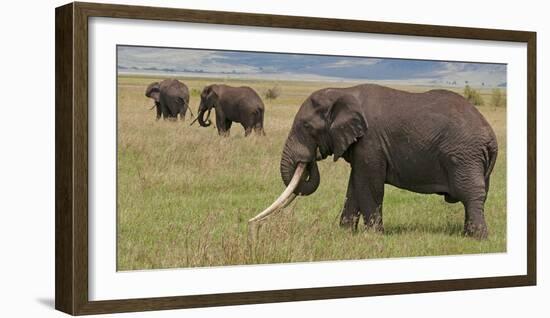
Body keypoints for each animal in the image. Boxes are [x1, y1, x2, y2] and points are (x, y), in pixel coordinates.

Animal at [258, 84, 500, 238]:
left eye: (306, 127)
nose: (312, 158)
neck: (343, 92)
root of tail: (491, 136)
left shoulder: (370, 141)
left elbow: (369, 185)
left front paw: (373, 237)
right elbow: (355, 185)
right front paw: (345, 234)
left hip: (464, 155)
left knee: (470, 193)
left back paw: (477, 238)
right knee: (479, 195)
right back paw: (467, 235)